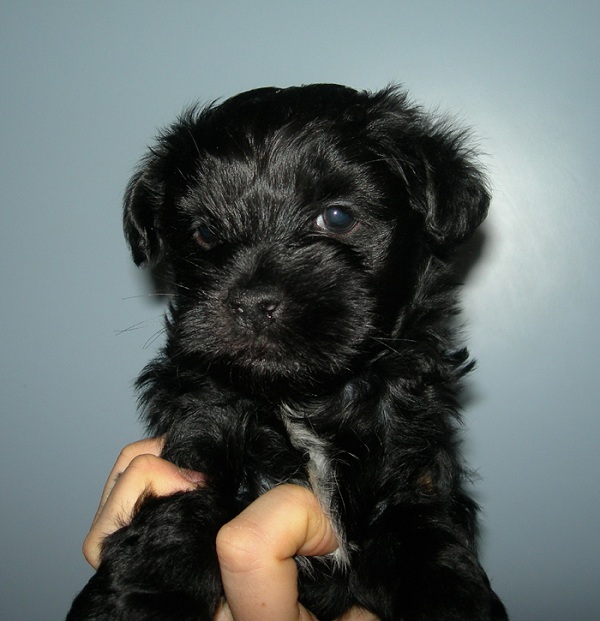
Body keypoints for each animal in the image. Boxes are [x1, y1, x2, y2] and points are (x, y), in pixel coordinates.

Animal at [68, 85, 508, 616]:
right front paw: (143, 596)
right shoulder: (201, 433)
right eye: (205, 233)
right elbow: (180, 513)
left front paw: (454, 600)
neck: (303, 398)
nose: (253, 303)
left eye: (337, 217)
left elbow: (429, 545)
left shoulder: (413, 478)